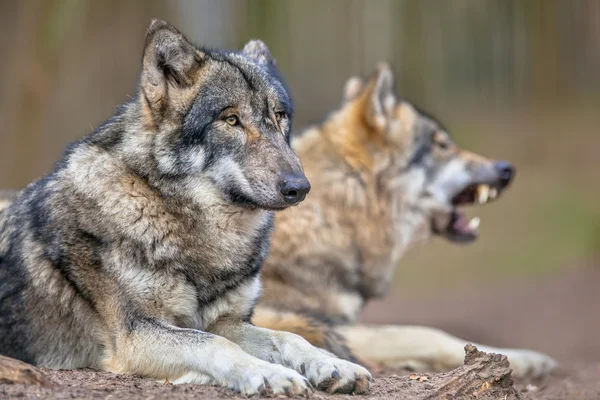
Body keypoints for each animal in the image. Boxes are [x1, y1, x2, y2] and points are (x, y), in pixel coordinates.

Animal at [0, 20, 370, 396]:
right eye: (231, 120)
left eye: (279, 117)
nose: (299, 187)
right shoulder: (136, 336)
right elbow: (214, 344)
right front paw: (269, 374)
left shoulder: (227, 322)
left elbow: (288, 337)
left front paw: (335, 365)